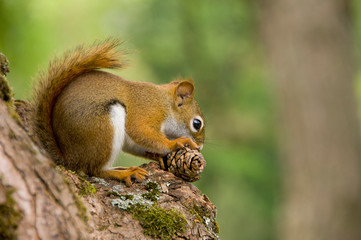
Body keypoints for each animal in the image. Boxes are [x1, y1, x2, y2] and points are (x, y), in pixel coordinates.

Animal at [30, 39, 205, 186]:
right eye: (197, 123)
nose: (201, 147)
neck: (165, 103)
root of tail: (69, 158)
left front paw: (160, 156)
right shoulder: (147, 110)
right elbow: (140, 131)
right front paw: (176, 143)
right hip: (103, 127)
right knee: (94, 170)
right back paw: (125, 173)